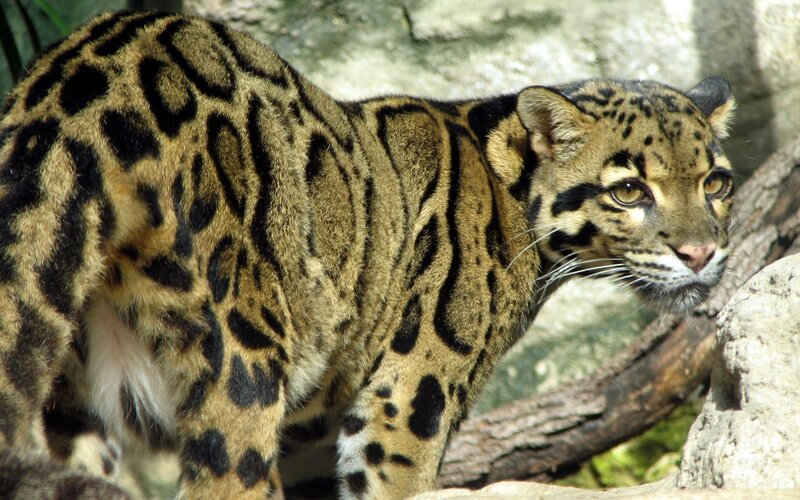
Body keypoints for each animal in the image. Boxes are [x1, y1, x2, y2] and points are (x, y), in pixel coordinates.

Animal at [0, 9, 735, 500]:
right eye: (629, 189)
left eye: (716, 184)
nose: (702, 252)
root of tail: (77, 87)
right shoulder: (411, 397)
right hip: (237, 357)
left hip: (68, 398)